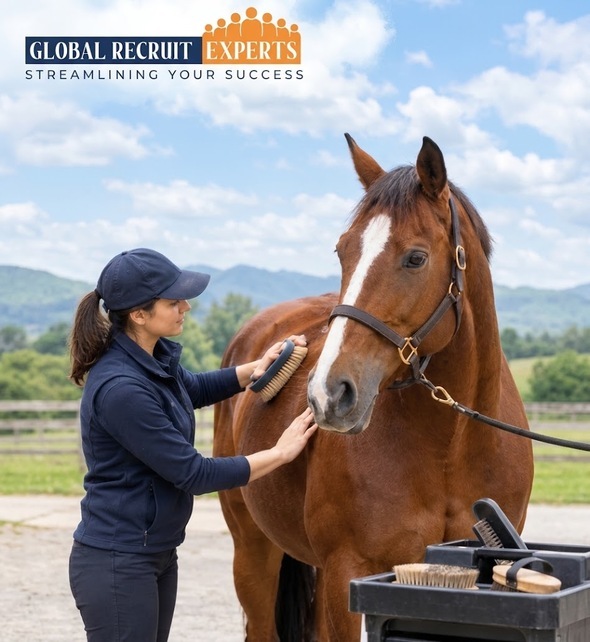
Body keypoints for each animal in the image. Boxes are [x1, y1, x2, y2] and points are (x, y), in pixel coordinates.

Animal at [213, 135, 534, 641]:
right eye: (343, 251)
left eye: (416, 257)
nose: (327, 395)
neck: (451, 445)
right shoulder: (349, 573)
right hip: (254, 553)